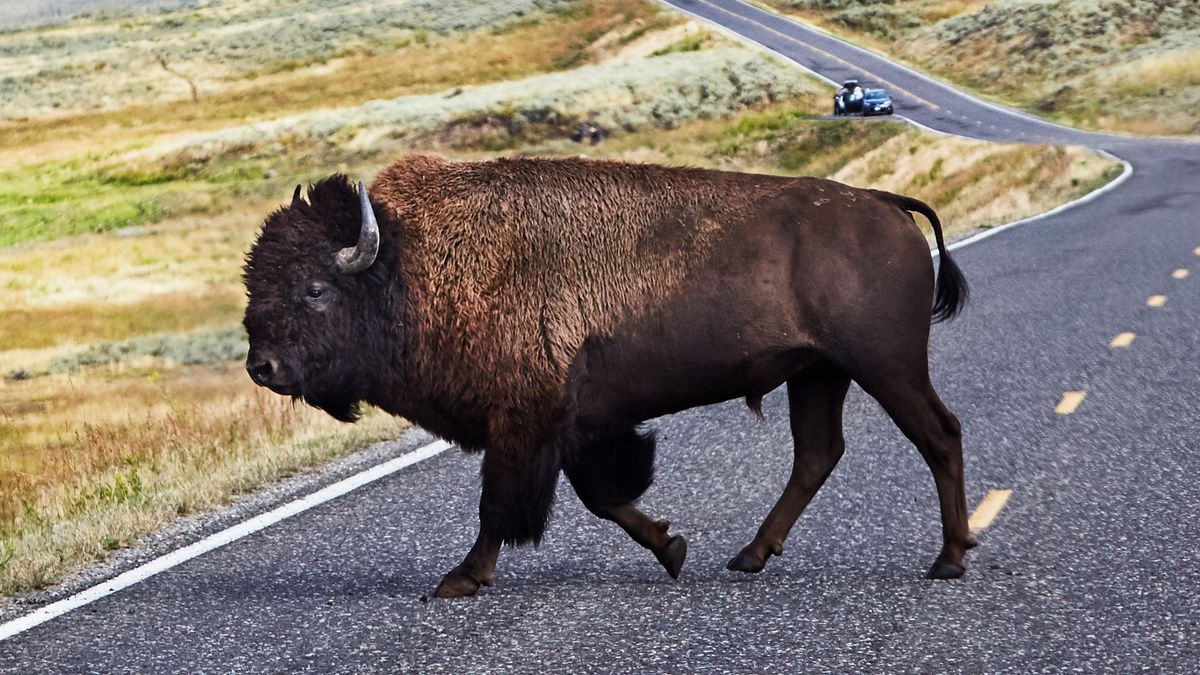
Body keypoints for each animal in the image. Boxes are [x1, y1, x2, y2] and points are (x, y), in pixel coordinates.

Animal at [241, 154, 974, 595]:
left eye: (314, 288)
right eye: (254, 283)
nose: (261, 365)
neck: (407, 264)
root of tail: (884, 202)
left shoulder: (523, 425)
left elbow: (501, 506)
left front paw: (460, 578)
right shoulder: (574, 424)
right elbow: (603, 495)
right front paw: (672, 548)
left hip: (884, 365)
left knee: (938, 435)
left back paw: (950, 558)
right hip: (819, 373)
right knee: (818, 453)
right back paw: (749, 555)